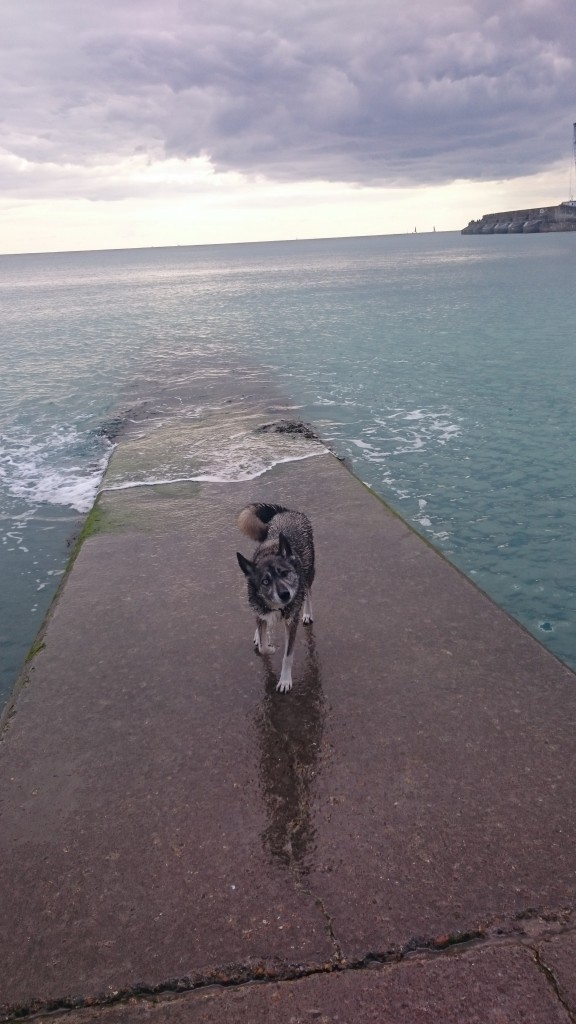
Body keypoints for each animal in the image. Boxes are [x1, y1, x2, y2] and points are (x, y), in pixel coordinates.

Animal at [235, 505, 313, 696]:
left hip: (309, 574)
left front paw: (284, 680)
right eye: (265, 581)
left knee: (308, 593)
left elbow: (287, 656)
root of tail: (287, 511)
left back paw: (307, 613)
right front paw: (268, 646)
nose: (285, 594)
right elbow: (263, 646)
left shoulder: (291, 623)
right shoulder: (260, 610)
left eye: (284, 573)